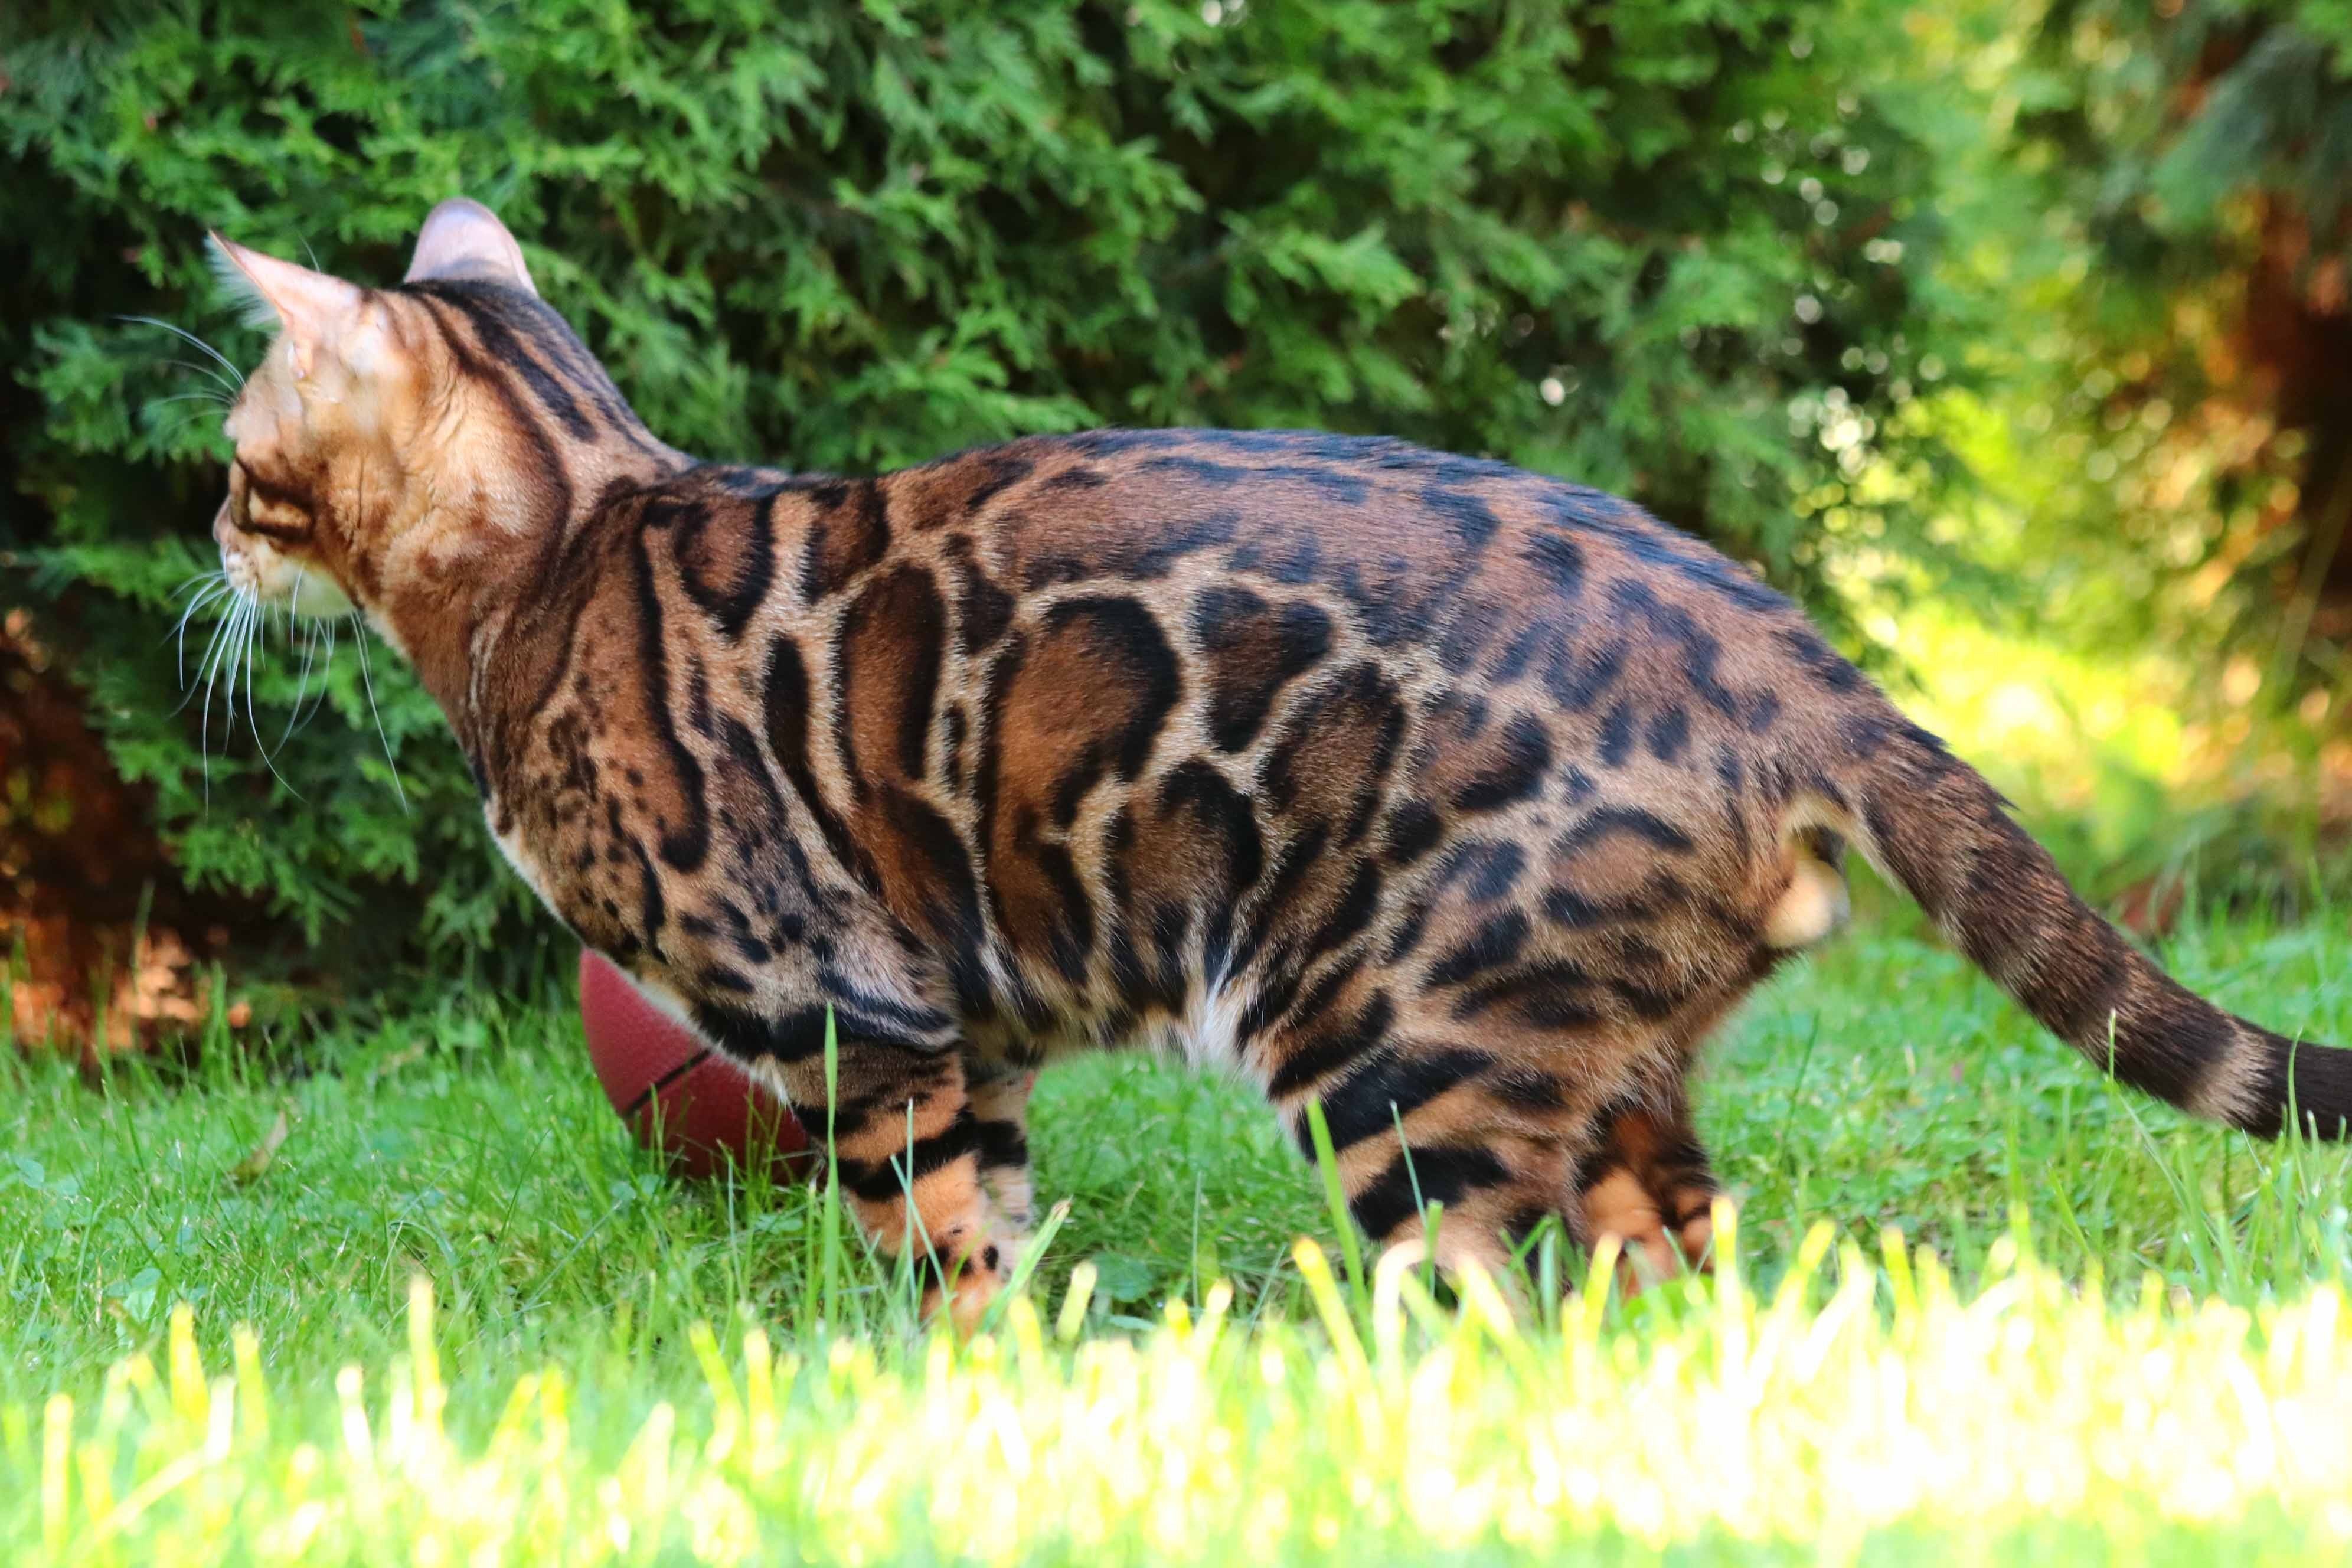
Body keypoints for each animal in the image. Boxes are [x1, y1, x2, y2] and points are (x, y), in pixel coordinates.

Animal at [197, 196, 2352, 1325]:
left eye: (235, 456)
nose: (202, 531)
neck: (575, 526)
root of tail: (1780, 639)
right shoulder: (972, 1022)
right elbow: (996, 1215)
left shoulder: (856, 1008)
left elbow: (930, 1235)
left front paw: (938, 1397)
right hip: (1604, 1056)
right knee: (1669, 1261)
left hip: (1382, 1032)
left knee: (1481, 1294)